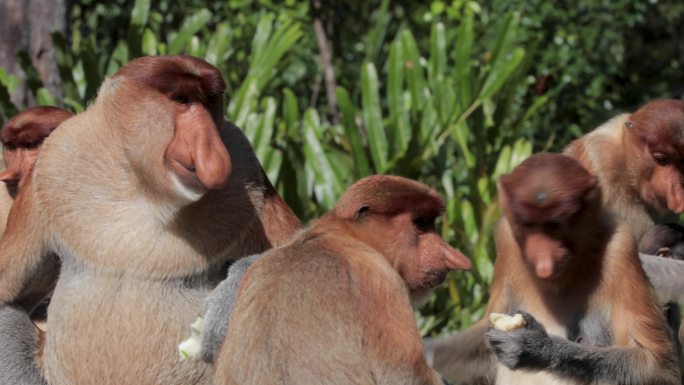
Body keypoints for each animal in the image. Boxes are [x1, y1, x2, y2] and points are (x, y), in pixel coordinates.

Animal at [0, 54, 302, 384]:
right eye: (182, 100)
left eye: (209, 100)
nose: (212, 152)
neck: (144, 188)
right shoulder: (51, 163)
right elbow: (9, 293)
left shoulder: (246, 166)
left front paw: (226, 301)